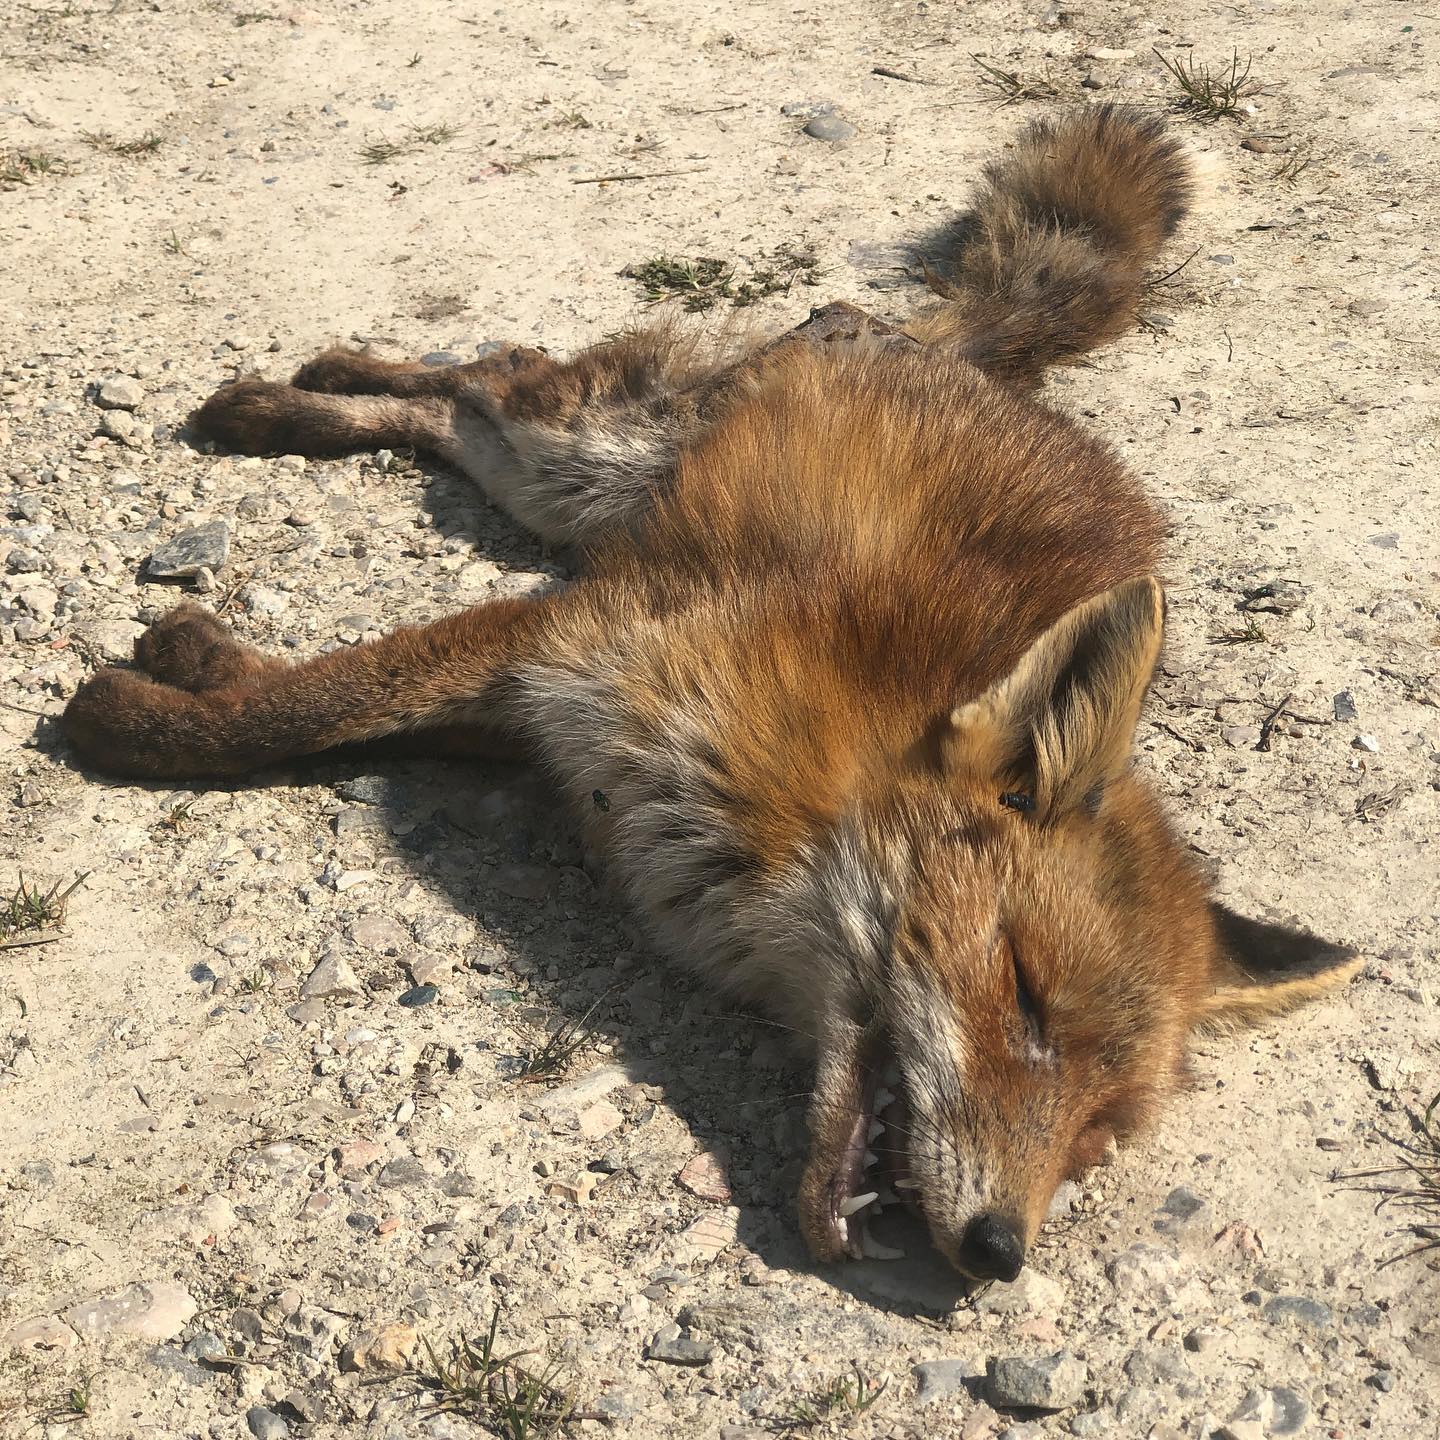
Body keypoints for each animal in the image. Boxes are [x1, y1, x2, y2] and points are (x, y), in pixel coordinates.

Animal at [62, 106, 1360, 1285]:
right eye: (1027, 1002)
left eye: (1097, 1134)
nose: (1000, 1253)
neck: (800, 798)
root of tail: (944, 353)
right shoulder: (571, 630)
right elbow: (303, 709)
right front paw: (140, 712)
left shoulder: (540, 712)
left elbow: (321, 705)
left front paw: (194, 666)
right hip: (586, 459)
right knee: (491, 372)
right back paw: (296, 393)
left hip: (569, 494)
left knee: (458, 405)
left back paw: (308, 395)